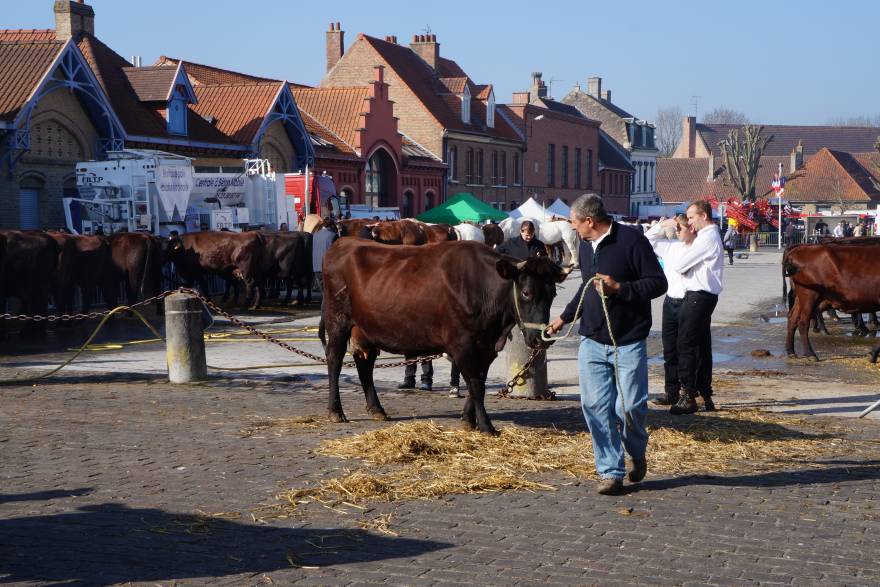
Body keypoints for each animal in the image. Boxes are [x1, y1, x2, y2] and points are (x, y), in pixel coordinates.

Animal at [324, 240, 572, 436]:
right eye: (526, 293)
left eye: (553, 293)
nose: (542, 340)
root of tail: (342, 243)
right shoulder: (462, 344)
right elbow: (475, 384)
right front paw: (486, 426)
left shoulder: (487, 346)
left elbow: (479, 381)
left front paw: (468, 420)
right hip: (338, 321)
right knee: (334, 360)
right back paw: (336, 411)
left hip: (365, 329)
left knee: (364, 364)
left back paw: (377, 409)